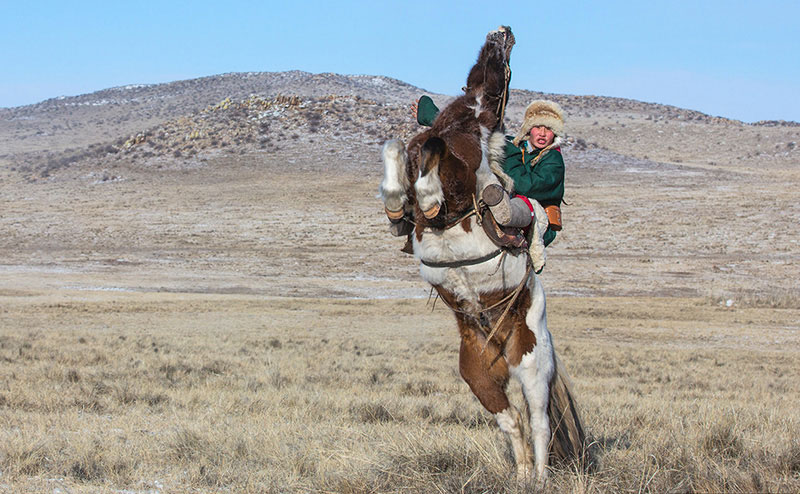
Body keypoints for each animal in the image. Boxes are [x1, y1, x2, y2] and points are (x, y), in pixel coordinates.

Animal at [379, 26, 585, 483]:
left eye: (504, 63)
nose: (502, 32)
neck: (465, 121)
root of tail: (500, 344)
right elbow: (398, 146)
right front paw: (397, 206)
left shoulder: (459, 179)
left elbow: (433, 155)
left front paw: (427, 198)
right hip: (479, 376)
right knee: (512, 420)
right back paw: (521, 475)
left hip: (532, 366)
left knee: (539, 420)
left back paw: (540, 477)